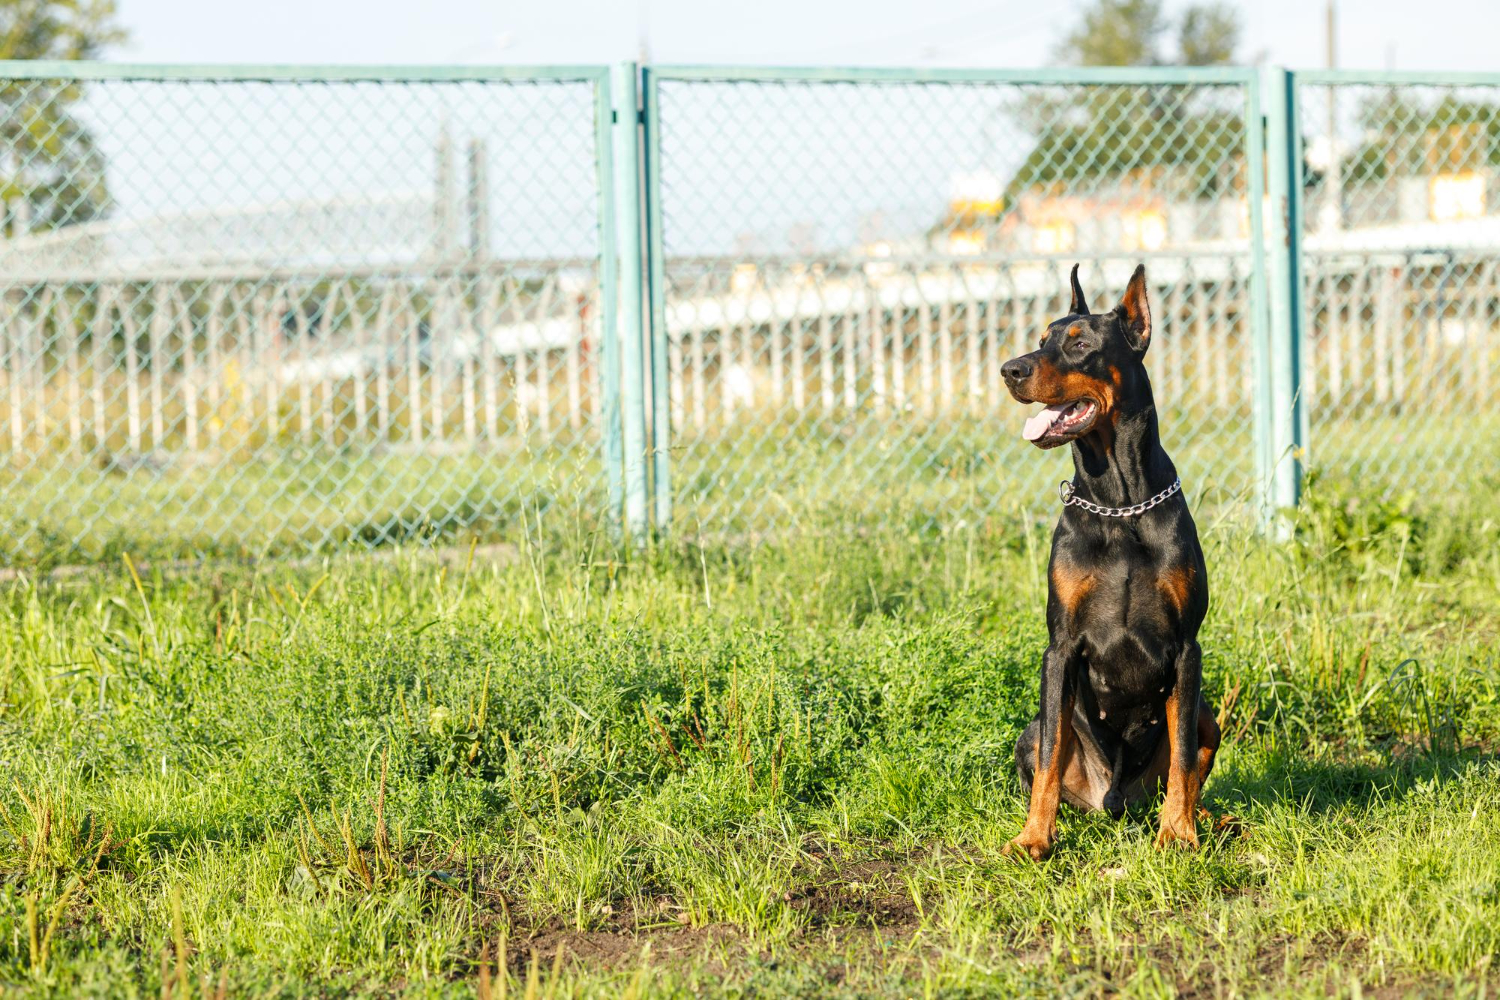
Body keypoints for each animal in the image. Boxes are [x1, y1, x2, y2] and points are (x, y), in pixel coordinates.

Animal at [996, 265, 1218, 863]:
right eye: (1041, 338)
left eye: (1079, 345)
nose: (1010, 369)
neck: (1119, 503)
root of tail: (1117, 800)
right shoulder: (1060, 646)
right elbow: (1051, 757)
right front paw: (1033, 838)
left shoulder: (1187, 648)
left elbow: (1183, 757)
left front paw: (1177, 834)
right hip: (1030, 730)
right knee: (1044, 748)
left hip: (1209, 713)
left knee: (1189, 768)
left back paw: (1205, 819)